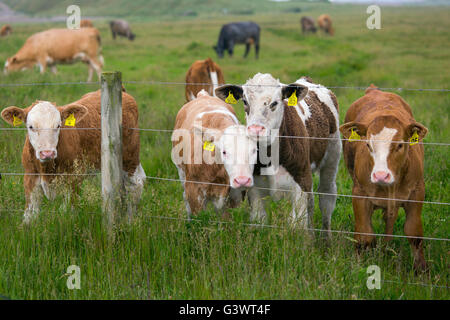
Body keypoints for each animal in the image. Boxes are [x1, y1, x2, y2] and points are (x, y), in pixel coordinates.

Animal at [0, 89, 145, 224]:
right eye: (30, 127)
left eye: (58, 126)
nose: (47, 153)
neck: (47, 169)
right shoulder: (30, 177)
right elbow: (30, 214)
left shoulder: (74, 178)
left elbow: (66, 212)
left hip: (130, 156)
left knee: (135, 184)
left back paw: (129, 222)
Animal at [171, 89, 256, 218]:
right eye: (224, 152)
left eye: (254, 150)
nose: (242, 180)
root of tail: (203, 96)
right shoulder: (194, 191)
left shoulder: (234, 196)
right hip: (181, 174)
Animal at [216, 73, 340, 238]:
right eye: (245, 101)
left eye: (274, 103)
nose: (255, 130)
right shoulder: (255, 189)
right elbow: (259, 222)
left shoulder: (301, 181)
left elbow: (298, 226)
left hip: (333, 155)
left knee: (327, 197)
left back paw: (327, 239)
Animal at [342, 84, 428, 270]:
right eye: (367, 144)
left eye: (400, 145)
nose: (381, 175)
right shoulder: (359, 194)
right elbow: (364, 235)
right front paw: (358, 267)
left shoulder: (417, 191)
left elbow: (414, 234)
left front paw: (421, 270)